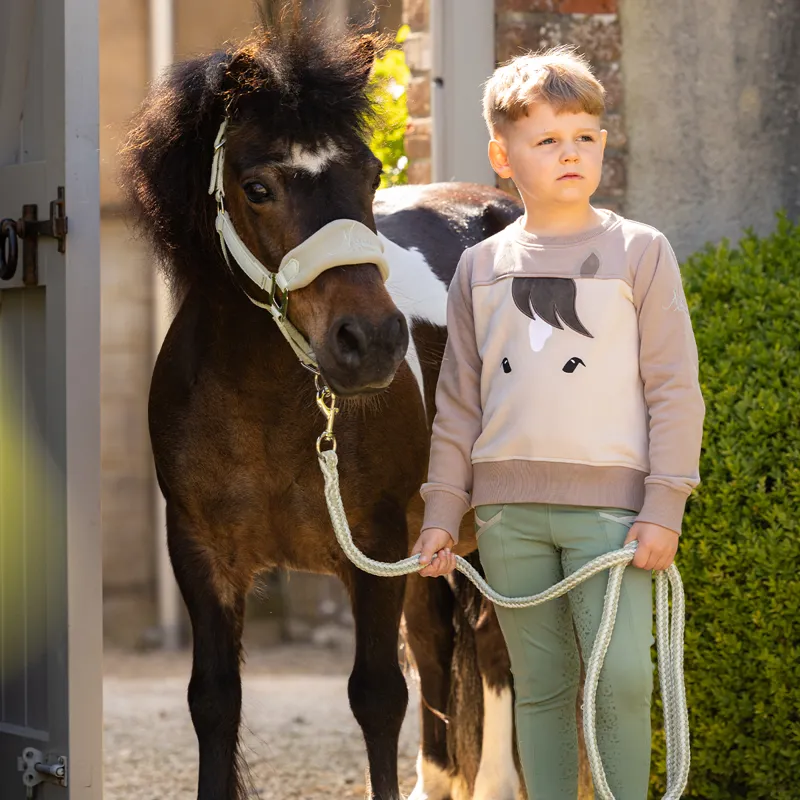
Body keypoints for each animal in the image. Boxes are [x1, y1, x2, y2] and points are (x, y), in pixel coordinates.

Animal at [120, 8, 525, 799]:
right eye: (256, 187)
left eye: (370, 173)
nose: (371, 342)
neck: (264, 410)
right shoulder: (200, 554)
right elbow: (214, 700)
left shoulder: (373, 545)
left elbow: (377, 697)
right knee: (439, 648)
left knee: (496, 651)